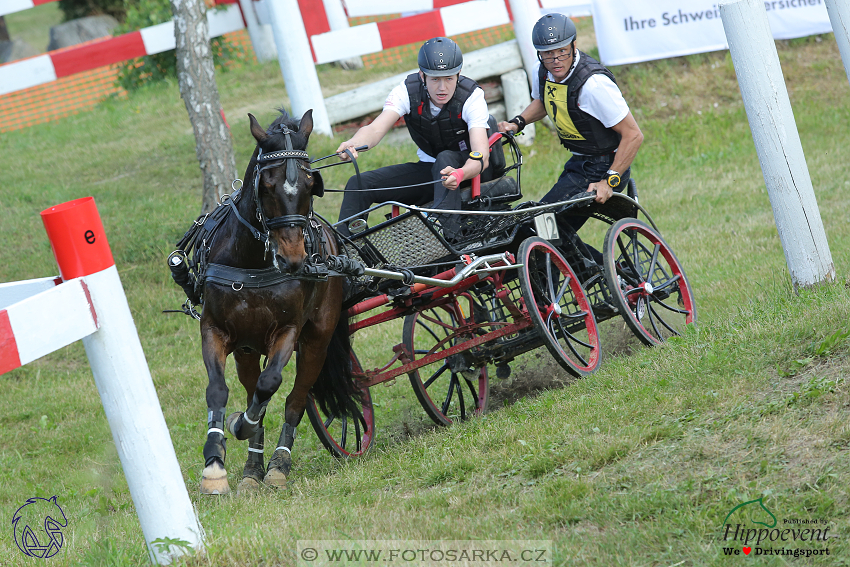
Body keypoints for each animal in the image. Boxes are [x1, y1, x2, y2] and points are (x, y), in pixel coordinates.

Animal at [199, 108, 362, 494]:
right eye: (268, 185)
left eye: (310, 184)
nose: (293, 260)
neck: (253, 262)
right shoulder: (214, 330)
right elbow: (219, 391)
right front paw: (215, 464)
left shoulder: (288, 331)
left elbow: (271, 384)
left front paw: (240, 426)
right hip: (246, 349)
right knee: (251, 392)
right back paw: (252, 468)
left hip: (317, 340)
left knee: (295, 399)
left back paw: (277, 465)